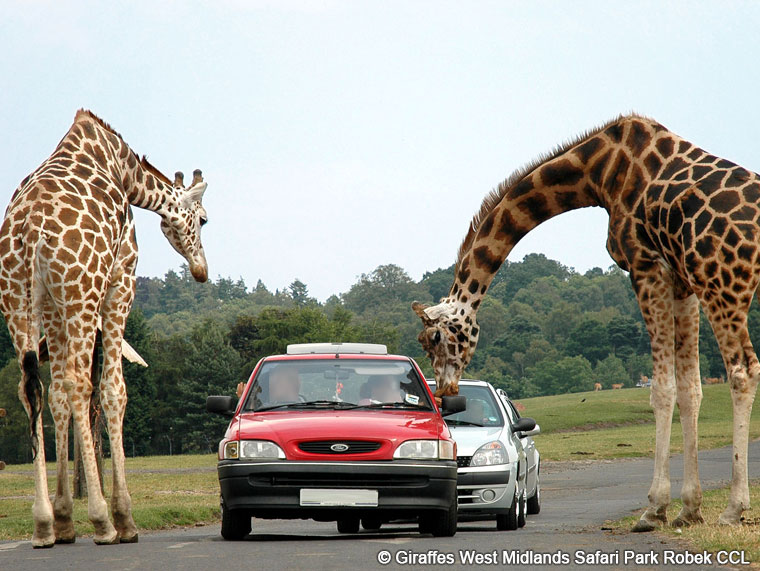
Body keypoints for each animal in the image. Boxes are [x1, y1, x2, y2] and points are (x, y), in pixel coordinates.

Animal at [0, 109, 209, 548]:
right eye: (203, 219)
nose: (202, 271)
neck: (125, 170)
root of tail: (29, 231)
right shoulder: (120, 279)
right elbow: (114, 390)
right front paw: (123, 517)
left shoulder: (53, 306)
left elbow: (56, 395)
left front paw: (64, 518)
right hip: (82, 293)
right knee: (81, 383)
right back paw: (103, 522)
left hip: (18, 299)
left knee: (33, 387)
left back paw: (43, 525)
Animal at [416, 113, 760, 532]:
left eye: (434, 338)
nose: (446, 391)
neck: (598, 172)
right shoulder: (682, 281)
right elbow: (689, 388)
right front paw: (688, 510)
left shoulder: (647, 267)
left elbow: (661, 390)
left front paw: (653, 509)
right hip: (716, 285)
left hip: (724, 283)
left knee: (743, 369)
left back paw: (733, 508)